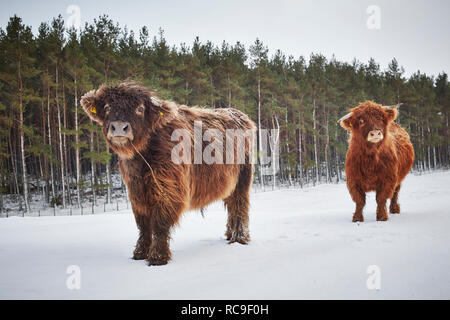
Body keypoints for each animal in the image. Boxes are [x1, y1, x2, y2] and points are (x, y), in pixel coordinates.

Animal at [80, 82, 255, 264]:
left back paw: (240, 238)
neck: (142, 157)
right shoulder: (136, 192)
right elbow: (143, 225)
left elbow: (159, 223)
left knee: (240, 205)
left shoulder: (169, 189)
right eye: (107, 107)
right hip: (229, 182)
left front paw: (158, 257)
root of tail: (239, 114)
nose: (119, 127)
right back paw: (229, 234)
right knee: (231, 204)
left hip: (243, 178)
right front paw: (140, 252)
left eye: (140, 108)